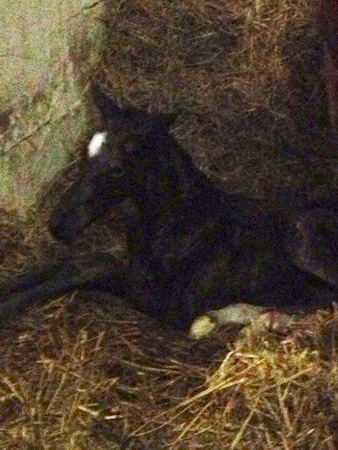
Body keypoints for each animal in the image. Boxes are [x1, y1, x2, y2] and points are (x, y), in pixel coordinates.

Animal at [0, 84, 338, 338]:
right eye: (86, 151)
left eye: (118, 169)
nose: (59, 225)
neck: (181, 222)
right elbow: (75, 262)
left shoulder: (173, 305)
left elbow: (92, 265)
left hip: (302, 239)